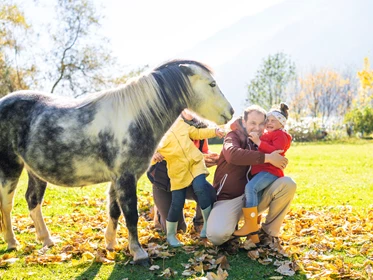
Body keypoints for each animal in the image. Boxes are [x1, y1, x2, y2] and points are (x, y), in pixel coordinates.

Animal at [0, 59, 232, 264]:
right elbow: (130, 214)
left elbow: (114, 210)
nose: (230, 112)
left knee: (33, 201)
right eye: (212, 84)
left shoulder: (117, 179)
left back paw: (47, 240)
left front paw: (111, 244)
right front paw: (138, 253)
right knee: (7, 204)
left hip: (35, 171)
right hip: (10, 168)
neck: (134, 119)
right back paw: (12, 243)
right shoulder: (125, 178)